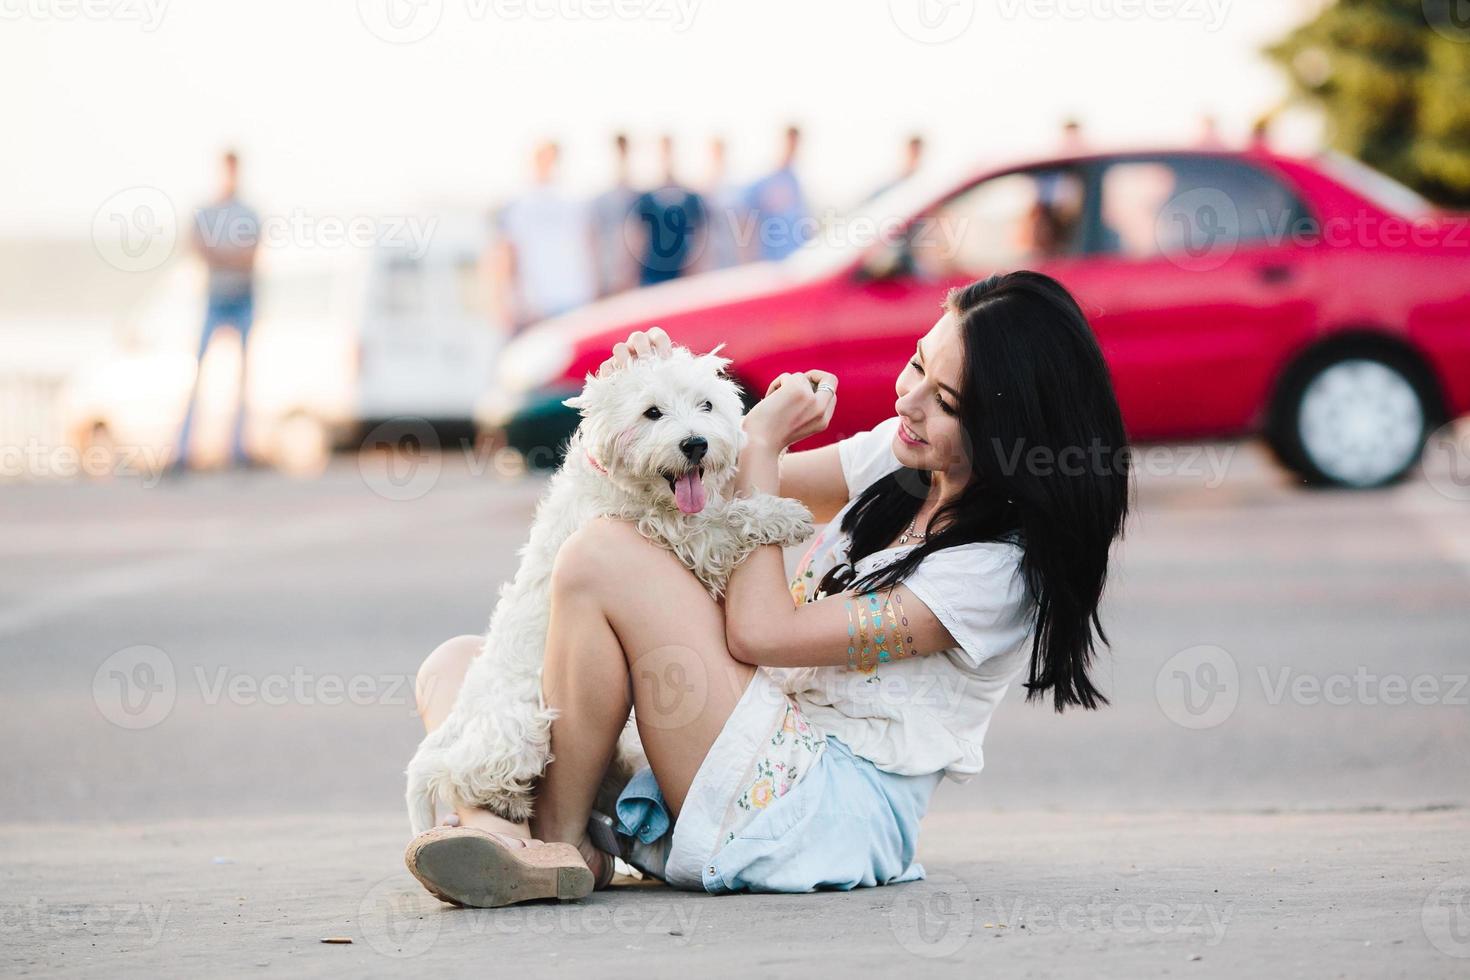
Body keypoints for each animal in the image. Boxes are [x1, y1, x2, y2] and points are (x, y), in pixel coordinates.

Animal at [408, 345, 811, 834]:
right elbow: (725, 519)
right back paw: (510, 802)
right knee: (460, 774)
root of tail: (460, 716)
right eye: (652, 412)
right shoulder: (678, 535)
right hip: (521, 726)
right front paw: (783, 516)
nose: (695, 444)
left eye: (707, 405)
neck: (626, 485)